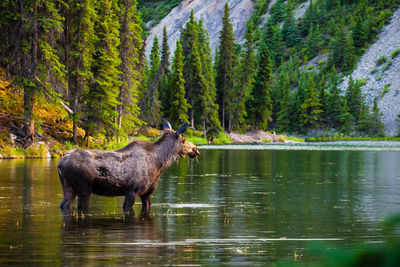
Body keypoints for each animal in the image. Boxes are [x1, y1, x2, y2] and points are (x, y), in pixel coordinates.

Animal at [56, 121, 200, 216]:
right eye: (184, 140)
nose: (196, 149)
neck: (160, 165)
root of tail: (60, 163)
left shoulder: (147, 194)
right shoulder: (132, 191)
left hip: (68, 188)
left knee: (64, 205)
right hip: (84, 189)